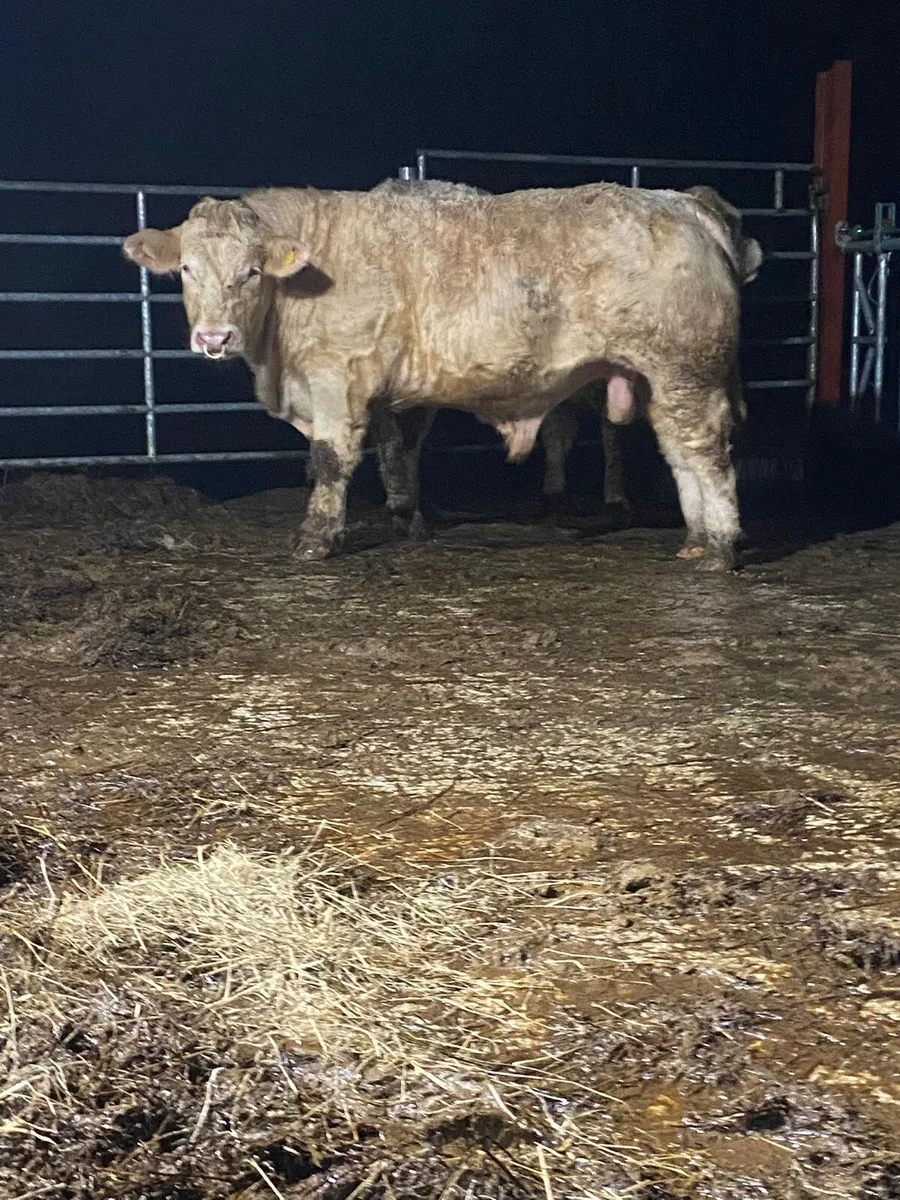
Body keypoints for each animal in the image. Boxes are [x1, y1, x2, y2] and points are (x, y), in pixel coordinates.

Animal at [124, 179, 746, 569]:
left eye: (253, 271)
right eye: (187, 268)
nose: (214, 338)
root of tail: (682, 205)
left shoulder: (335, 377)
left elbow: (330, 460)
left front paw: (314, 539)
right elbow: (395, 451)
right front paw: (404, 519)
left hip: (686, 368)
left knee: (705, 451)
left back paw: (719, 547)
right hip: (660, 378)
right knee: (678, 451)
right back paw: (696, 540)